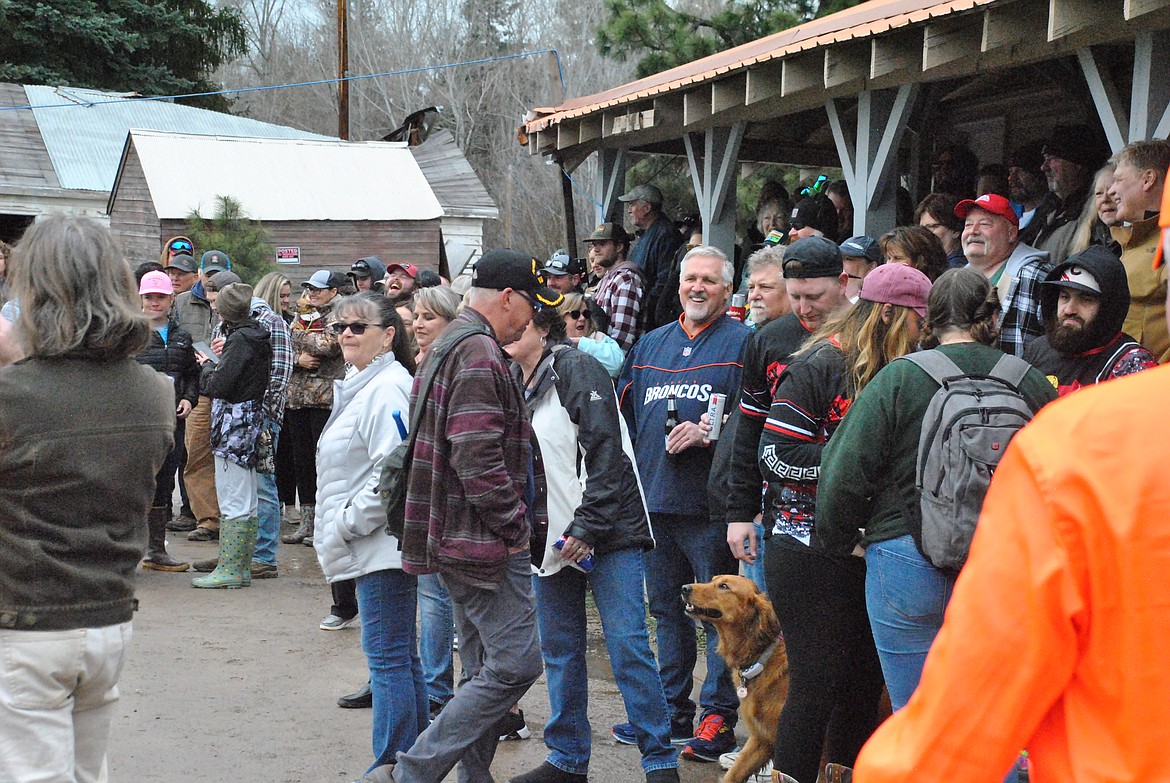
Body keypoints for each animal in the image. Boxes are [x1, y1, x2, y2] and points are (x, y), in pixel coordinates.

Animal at [683, 573, 790, 781]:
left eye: (724, 586)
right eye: (712, 580)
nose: (684, 588)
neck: (762, 655)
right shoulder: (761, 739)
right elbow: (734, 773)